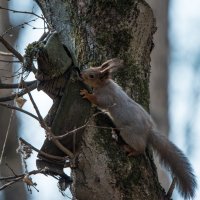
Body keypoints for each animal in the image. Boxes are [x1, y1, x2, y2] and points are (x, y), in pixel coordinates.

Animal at [79, 58, 197, 200]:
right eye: (91, 67)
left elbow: (100, 102)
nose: (80, 73)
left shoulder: (107, 97)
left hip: (128, 133)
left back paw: (131, 150)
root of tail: (148, 132)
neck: (104, 84)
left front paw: (87, 94)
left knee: (141, 149)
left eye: (92, 75)